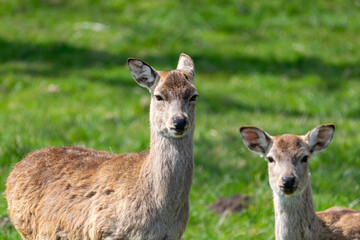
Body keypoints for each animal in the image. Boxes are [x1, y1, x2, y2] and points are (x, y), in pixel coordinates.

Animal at [5, 53, 198, 239]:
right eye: (159, 96)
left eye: (193, 96)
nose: (179, 121)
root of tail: (14, 171)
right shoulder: (104, 231)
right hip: (26, 227)